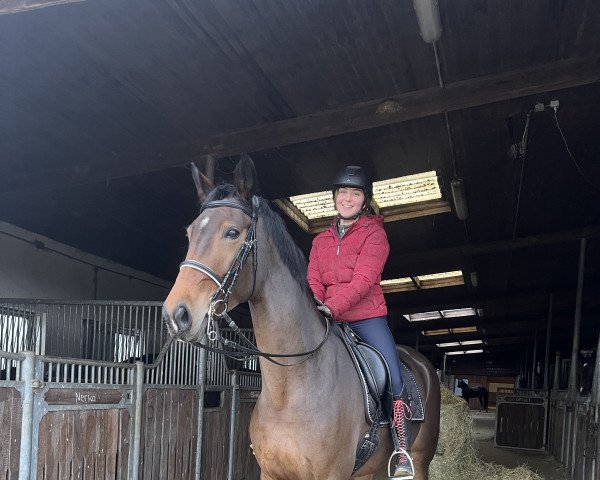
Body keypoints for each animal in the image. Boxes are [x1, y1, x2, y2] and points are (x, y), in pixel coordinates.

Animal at [163, 156, 440, 478]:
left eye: (232, 232)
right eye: (190, 233)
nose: (176, 314)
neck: (290, 390)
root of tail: (421, 361)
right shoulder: (270, 472)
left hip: (421, 460)